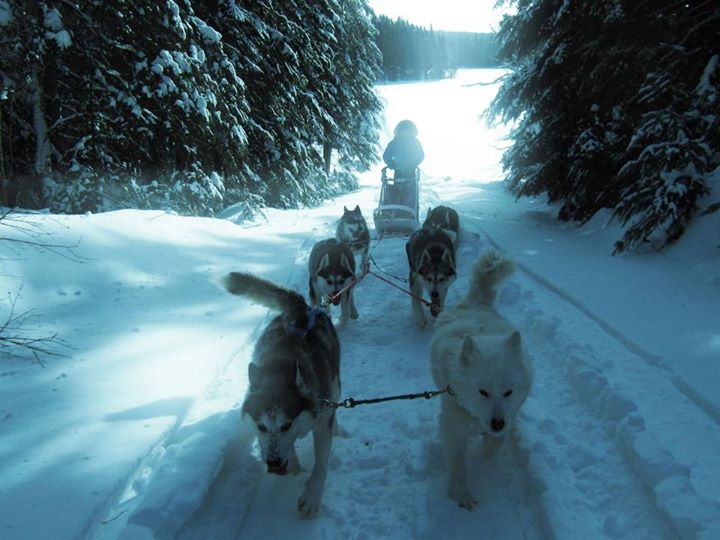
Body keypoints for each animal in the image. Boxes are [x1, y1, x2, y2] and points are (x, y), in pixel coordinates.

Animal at [222, 272, 340, 516]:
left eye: (286, 425)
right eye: (261, 427)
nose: (274, 464)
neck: (280, 368)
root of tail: (304, 309)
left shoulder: (322, 421)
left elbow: (321, 463)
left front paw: (312, 496)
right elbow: (290, 452)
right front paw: (294, 464)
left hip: (336, 384)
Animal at [430, 250, 532, 510]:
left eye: (508, 392)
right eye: (482, 391)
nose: (497, 424)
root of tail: (477, 301)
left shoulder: (510, 412)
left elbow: (495, 442)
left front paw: (489, 448)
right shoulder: (452, 424)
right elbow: (457, 462)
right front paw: (461, 493)